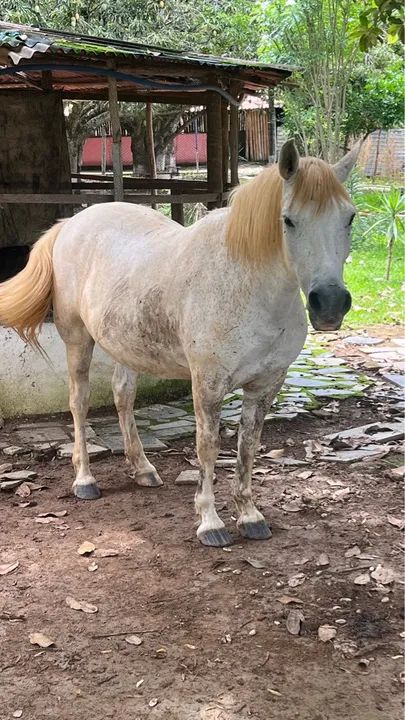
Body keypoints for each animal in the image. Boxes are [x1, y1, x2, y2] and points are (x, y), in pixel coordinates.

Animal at [0, 140, 358, 547]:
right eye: (288, 220)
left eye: (349, 217)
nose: (329, 303)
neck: (250, 287)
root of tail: (69, 226)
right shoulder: (208, 385)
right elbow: (207, 447)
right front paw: (210, 522)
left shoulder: (266, 386)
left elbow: (248, 446)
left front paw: (250, 515)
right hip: (77, 340)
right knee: (79, 402)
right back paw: (84, 480)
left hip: (126, 346)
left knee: (123, 396)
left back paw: (142, 469)